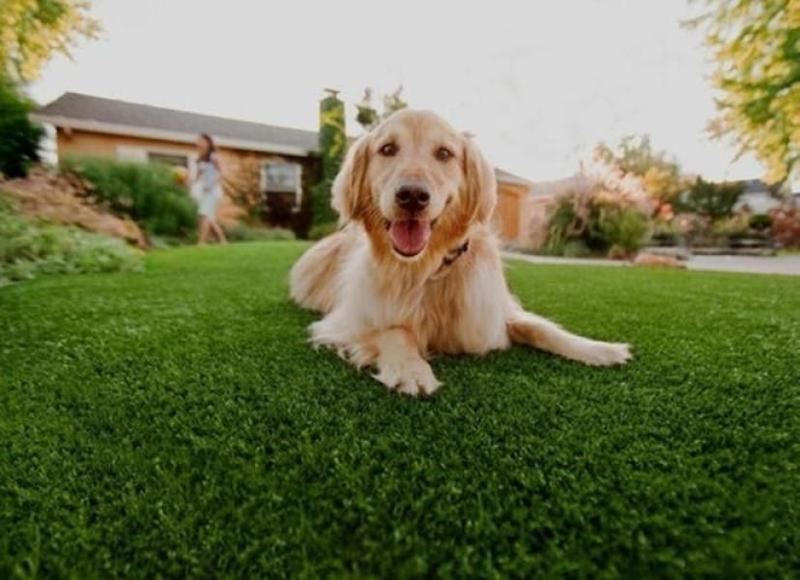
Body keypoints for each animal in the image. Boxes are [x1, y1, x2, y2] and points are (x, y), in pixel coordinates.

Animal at [290, 110, 632, 394]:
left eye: (444, 153)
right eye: (387, 149)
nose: (412, 196)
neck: (427, 269)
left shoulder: (491, 313)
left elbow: (540, 328)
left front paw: (598, 349)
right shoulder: (348, 320)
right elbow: (395, 330)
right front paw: (411, 370)